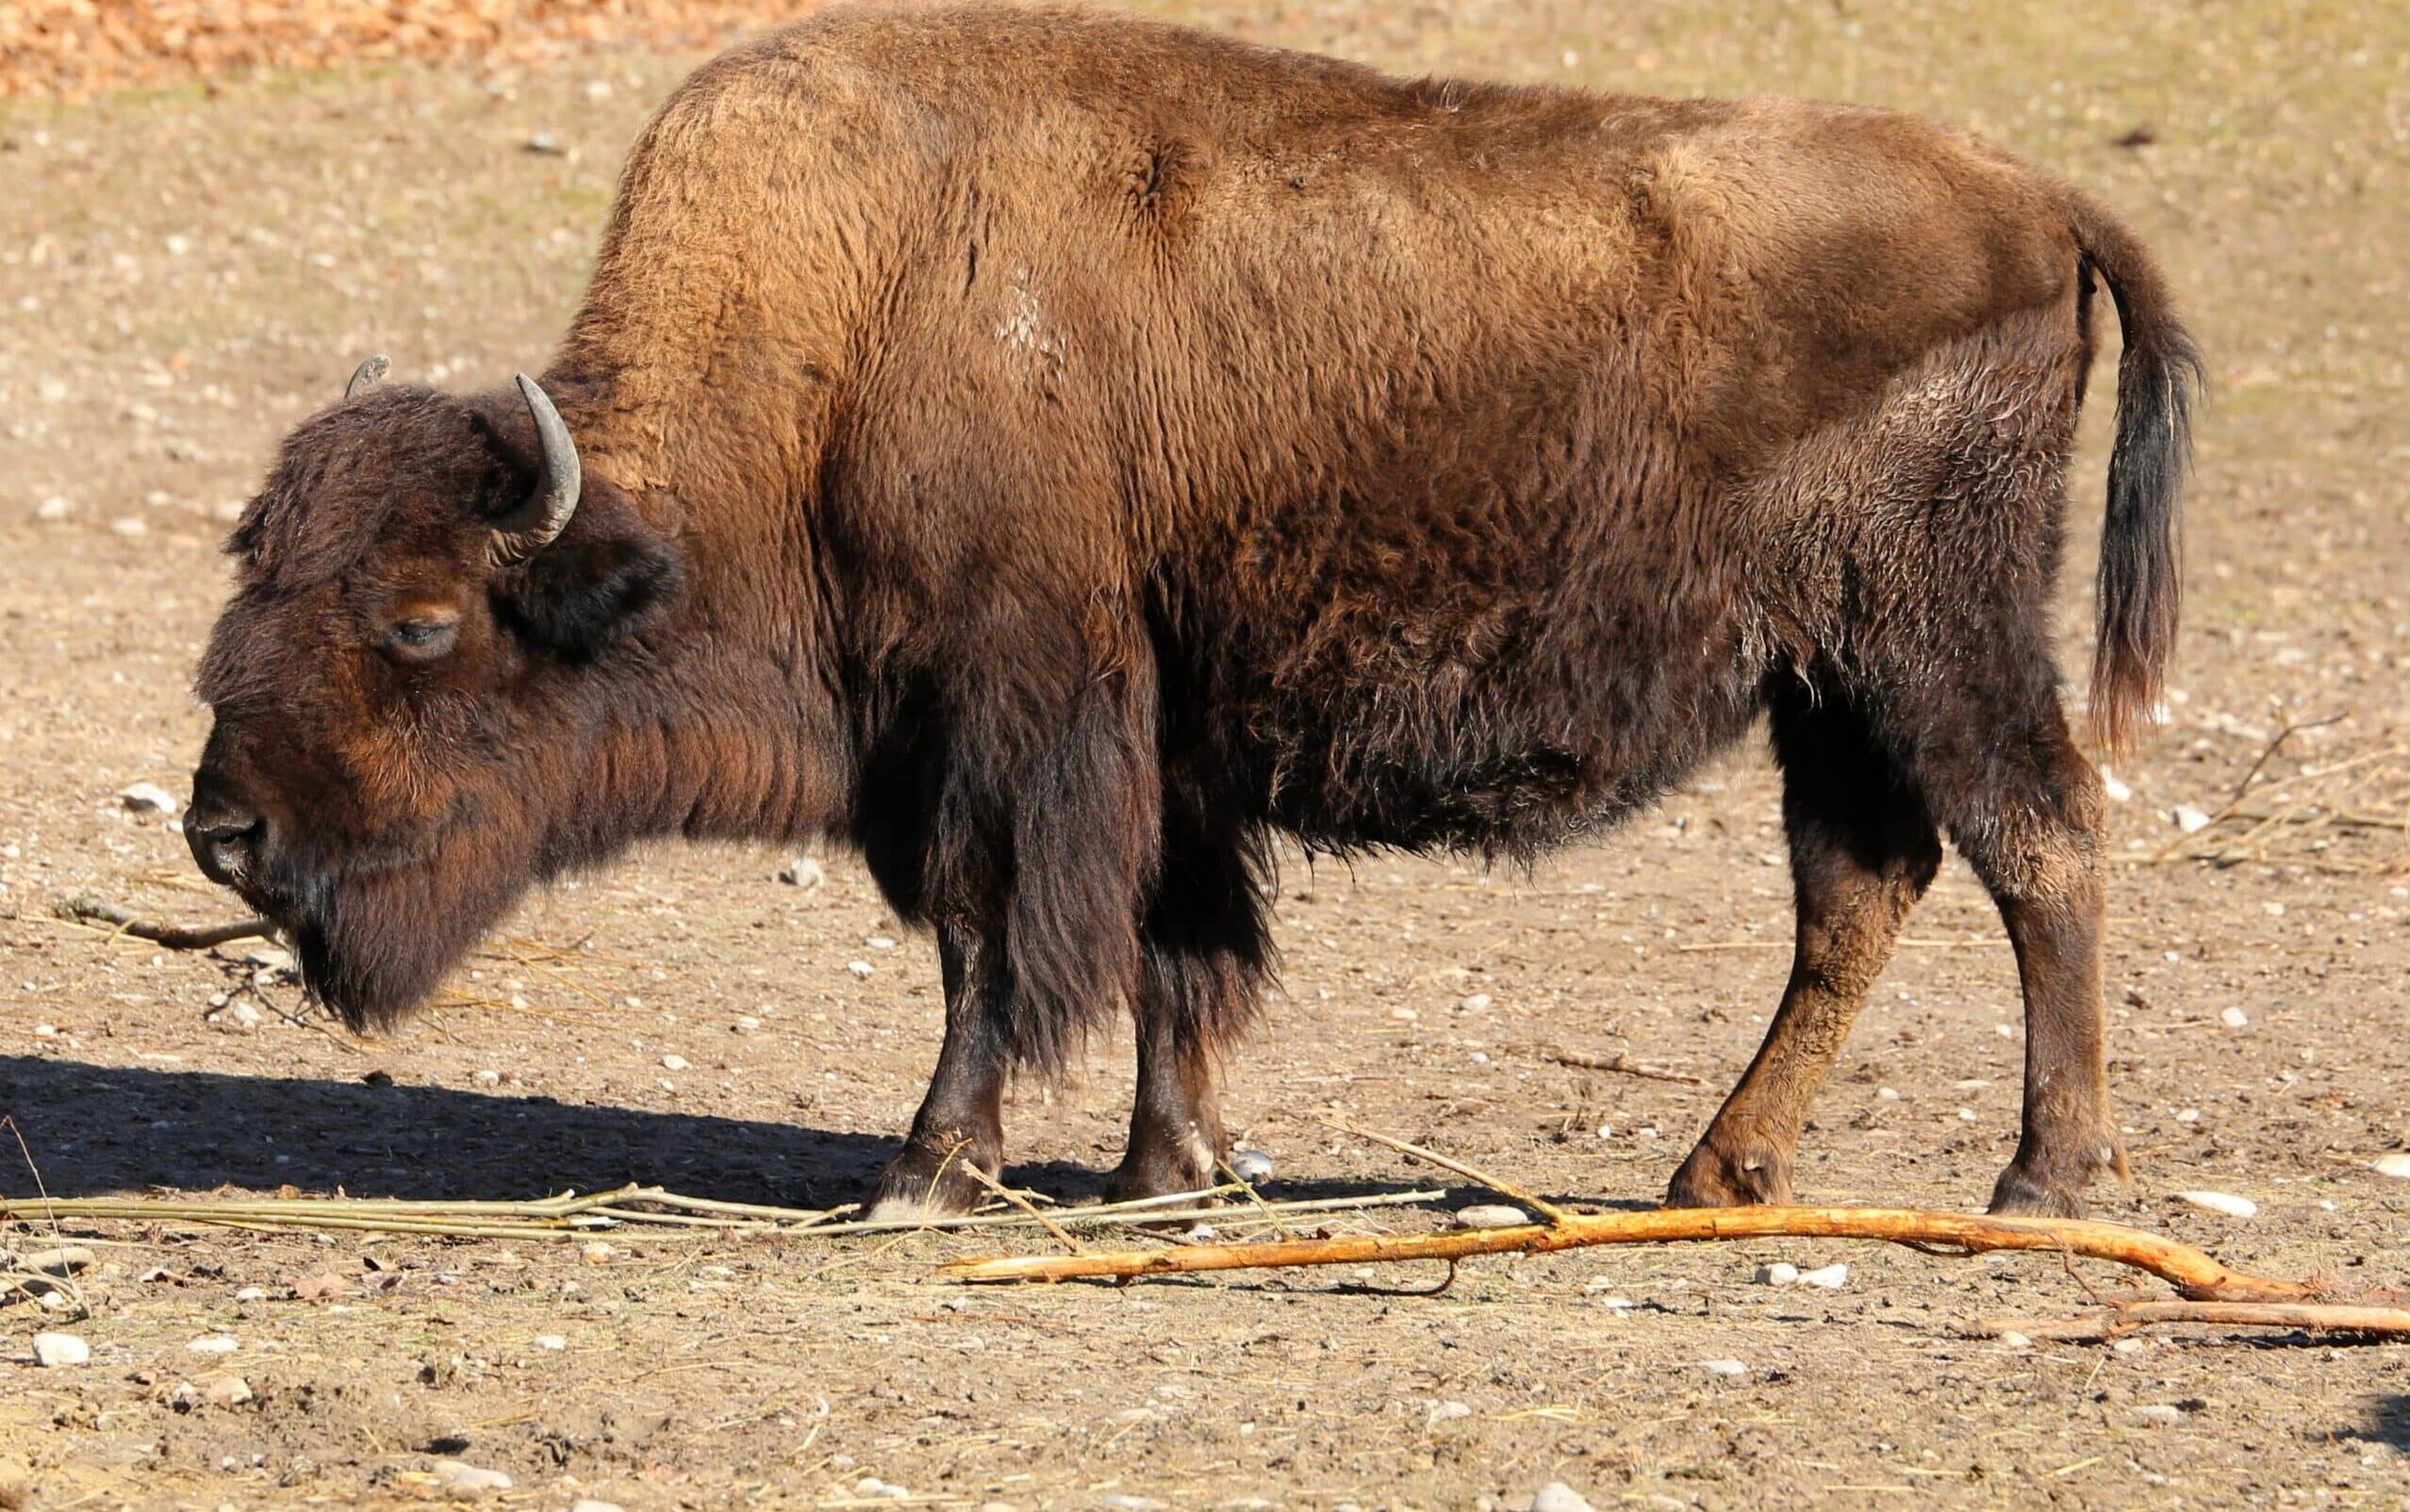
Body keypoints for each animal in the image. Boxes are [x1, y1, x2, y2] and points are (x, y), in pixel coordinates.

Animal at [185, 1, 2197, 1220]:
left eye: (422, 620)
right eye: (254, 573)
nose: (222, 830)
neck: (840, 333)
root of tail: (2036, 196)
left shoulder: (1006, 716)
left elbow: (1000, 941)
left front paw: (928, 1169)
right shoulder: (1156, 733)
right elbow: (1174, 943)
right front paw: (1169, 1167)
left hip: (1927, 637)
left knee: (2039, 842)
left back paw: (2045, 1177)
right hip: (1820, 677)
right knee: (1863, 887)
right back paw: (1719, 1170)